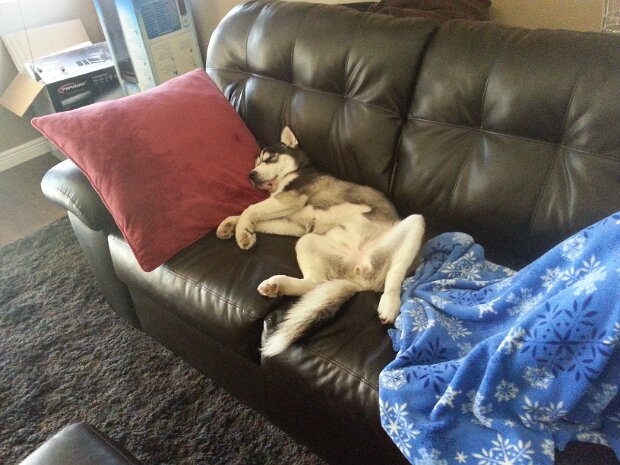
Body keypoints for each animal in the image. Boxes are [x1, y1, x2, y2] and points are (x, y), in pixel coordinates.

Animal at [216, 127, 425, 357]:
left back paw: (389, 304)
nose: (250, 175)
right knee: (314, 283)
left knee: (395, 274)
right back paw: (276, 285)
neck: (297, 171)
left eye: (270, 158)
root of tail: (359, 280)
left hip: (414, 225)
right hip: (307, 241)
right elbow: (255, 217)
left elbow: (250, 209)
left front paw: (242, 232)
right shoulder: (294, 224)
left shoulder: (290, 198)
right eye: (256, 163)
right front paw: (231, 226)